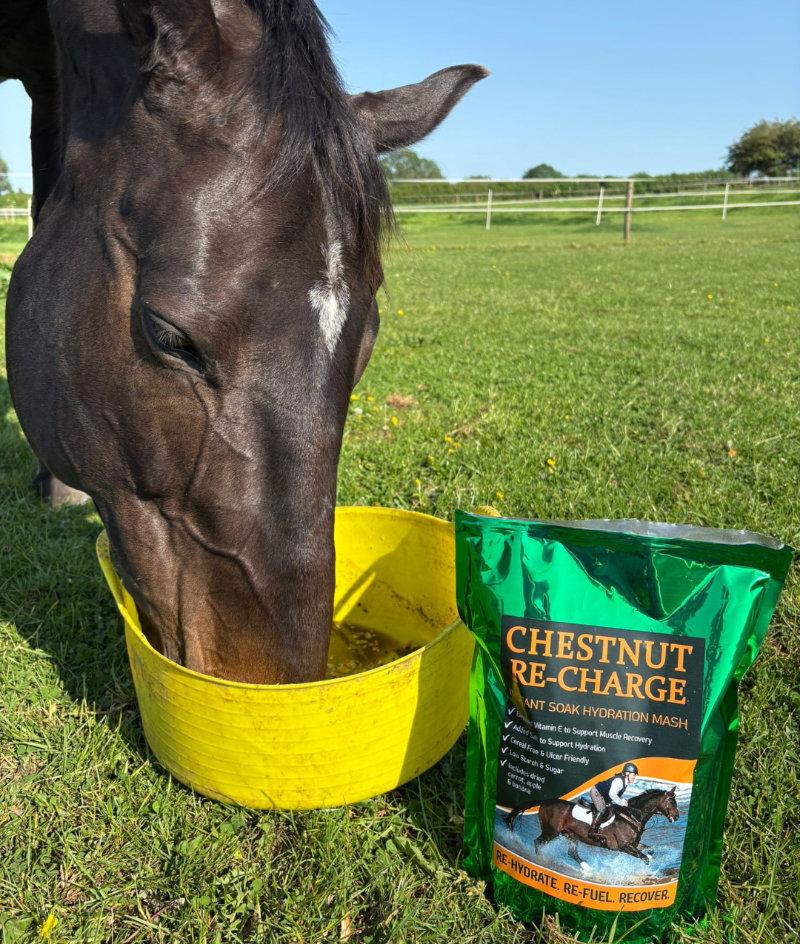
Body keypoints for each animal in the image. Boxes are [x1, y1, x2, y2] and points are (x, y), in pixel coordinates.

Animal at [505, 787, 680, 872]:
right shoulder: (624, 847)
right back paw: (539, 859)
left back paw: (586, 868)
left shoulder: (634, 845)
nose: (677, 817)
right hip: (551, 831)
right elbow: (644, 858)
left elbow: (650, 851)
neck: (632, 815)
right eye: (672, 802)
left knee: (572, 853)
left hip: (570, 835)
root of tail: (546, 802)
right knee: (538, 842)